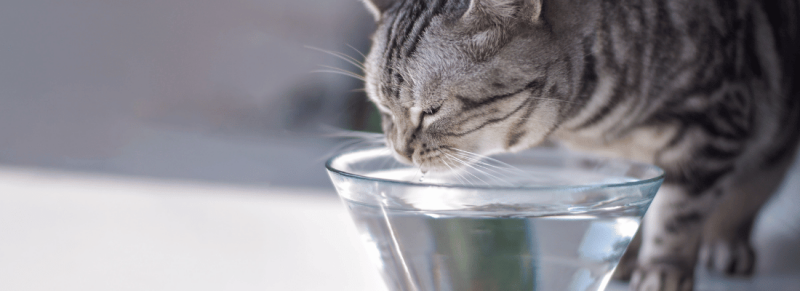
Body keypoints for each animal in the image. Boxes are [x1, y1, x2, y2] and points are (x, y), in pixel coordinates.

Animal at [358, 0, 800, 291]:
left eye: (431, 110)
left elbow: (677, 217)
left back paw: (727, 244)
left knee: (742, 201)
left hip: (771, 150)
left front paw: (663, 271)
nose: (399, 150)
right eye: (382, 107)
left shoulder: (712, 126)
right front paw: (625, 258)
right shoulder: (599, 163)